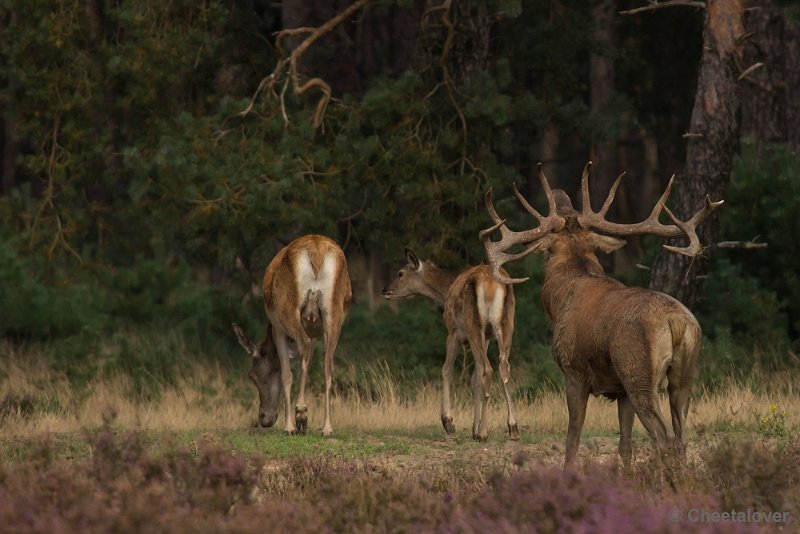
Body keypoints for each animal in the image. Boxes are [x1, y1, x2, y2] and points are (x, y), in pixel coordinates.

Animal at [234, 237, 354, 438]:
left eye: (252, 375)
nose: (264, 418)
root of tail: (316, 252)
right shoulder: (314, 331)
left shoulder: (278, 328)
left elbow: (286, 373)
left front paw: (290, 424)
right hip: (334, 313)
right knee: (328, 364)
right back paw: (327, 427)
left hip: (288, 310)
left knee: (305, 346)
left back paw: (300, 414)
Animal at [382, 251, 520, 444]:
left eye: (400, 273)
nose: (385, 290)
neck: (445, 290)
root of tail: (493, 284)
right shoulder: (486, 337)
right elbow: (475, 378)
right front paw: (473, 428)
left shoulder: (453, 332)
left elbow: (447, 370)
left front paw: (449, 422)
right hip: (506, 325)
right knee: (503, 367)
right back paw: (513, 427)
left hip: (472, 326)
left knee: (488, 369)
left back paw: (484, 432)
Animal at [482, 164, 724, 468]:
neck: (561, 300)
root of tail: (676, 322)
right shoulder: (620, 391)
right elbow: (625, 445)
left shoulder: (573, 372)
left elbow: (572, 439)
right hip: (684, 374)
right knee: (681, 436)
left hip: (638, 372)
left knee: (664, 436)